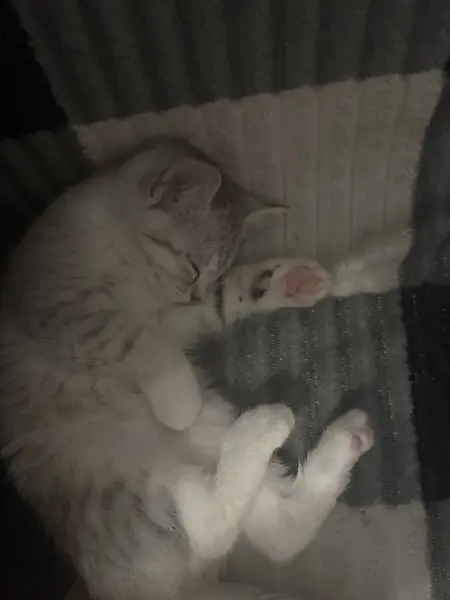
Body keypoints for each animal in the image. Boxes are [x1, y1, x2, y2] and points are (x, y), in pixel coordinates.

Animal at [0, 140, 375, 600]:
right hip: (130, 490)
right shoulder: (57, 305)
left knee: (276, 534)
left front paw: (285, 283)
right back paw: (262, 425)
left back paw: (340, 437)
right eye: (194, 266)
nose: (194, 292)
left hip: (209, 430)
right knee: (210, 530)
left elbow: (220, 305)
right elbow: (134, 340)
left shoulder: (171, 317)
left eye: (213, 273)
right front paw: (177, 399)